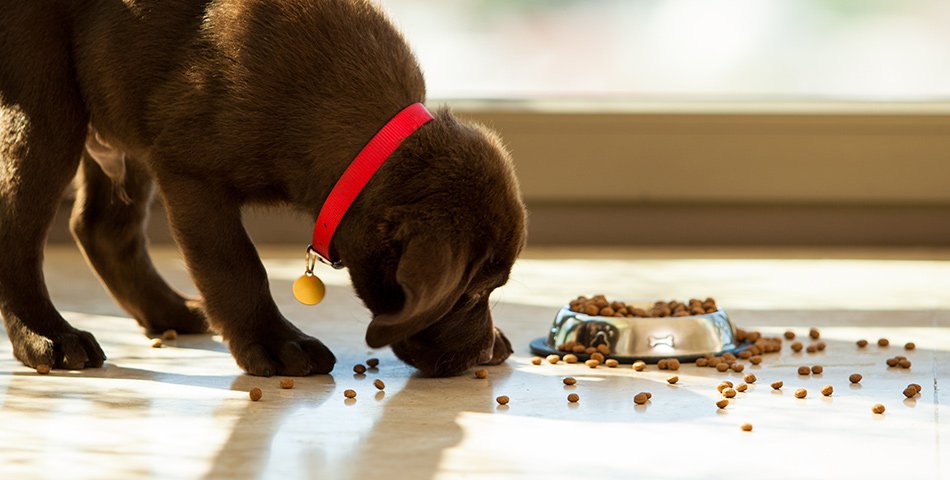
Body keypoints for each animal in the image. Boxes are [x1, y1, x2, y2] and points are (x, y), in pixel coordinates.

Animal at [0, 0, 526, 377]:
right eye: (472, 294)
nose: (482, 353)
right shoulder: (192, 173)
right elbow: (236, 267)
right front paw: (276, 342)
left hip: (123, 110)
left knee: (101, 227)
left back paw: (169, 312)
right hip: (48, 102)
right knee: (19, 226)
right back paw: (47, 337)